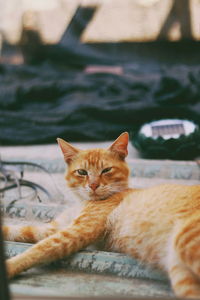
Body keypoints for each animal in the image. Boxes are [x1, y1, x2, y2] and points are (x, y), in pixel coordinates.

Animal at [3, 133, 200, 298]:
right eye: (82, 172)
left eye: (106, 170)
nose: (93, 185)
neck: (82, 202)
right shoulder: (55, 227)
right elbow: (22, 230)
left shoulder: (78, 230)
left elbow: (39, 249)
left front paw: (10, 266)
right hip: (181, 274)